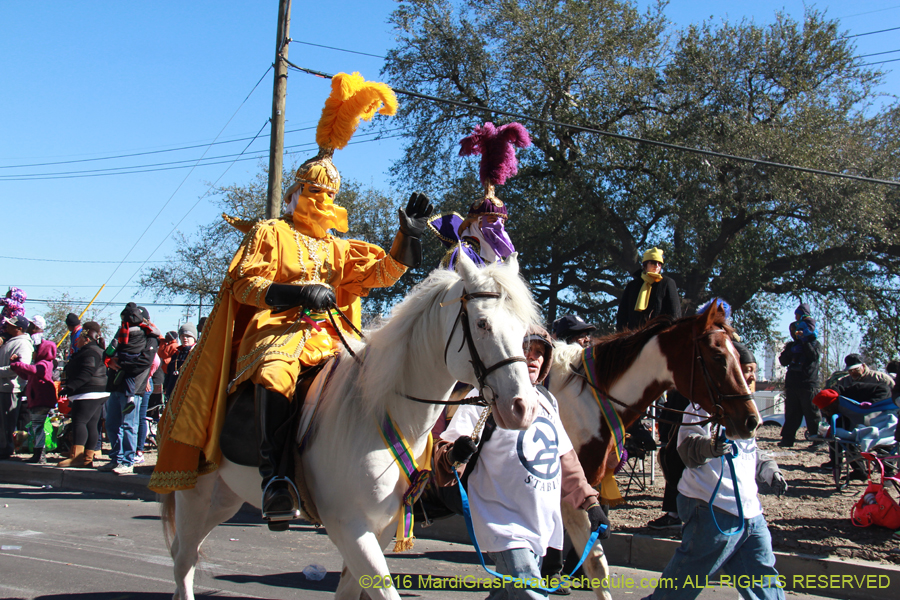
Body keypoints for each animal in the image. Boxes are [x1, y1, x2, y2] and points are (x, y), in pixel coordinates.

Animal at [161, 253, 540, 600]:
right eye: (482, 324)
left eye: (524, 331)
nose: (523, 408)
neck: (384, 410)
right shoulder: (349, 526)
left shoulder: (382, 526)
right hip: (195, 494)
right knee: (182, 559)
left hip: (223, 499)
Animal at [548, 302, 760, 596]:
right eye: (718, 356)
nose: (751, 420)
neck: (587, 398)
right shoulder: (569, 493)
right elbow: (595, 564)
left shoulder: (590, 484)